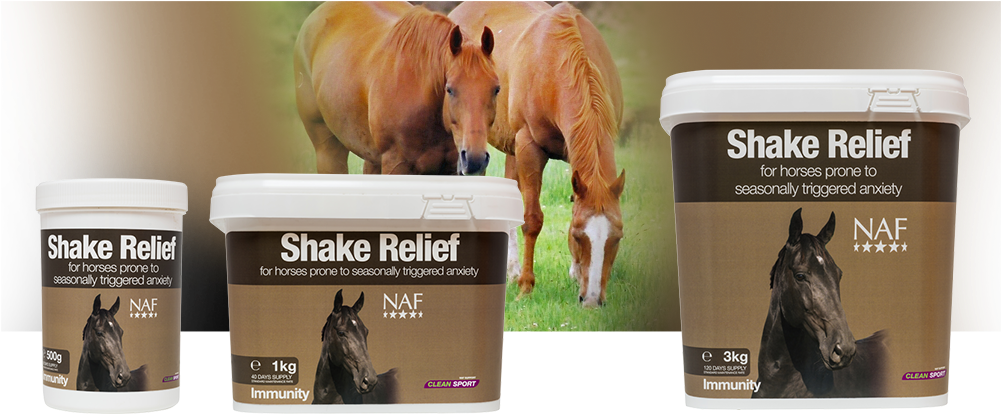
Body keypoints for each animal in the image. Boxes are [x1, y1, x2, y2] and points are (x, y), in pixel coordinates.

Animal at [449, 1, 625, 307]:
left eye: (616, 238)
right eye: (579, 236)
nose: (592, 300)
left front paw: (575, 271)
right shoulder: (529, 147)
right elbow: (532, 220)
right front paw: (526, 286)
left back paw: (510, 269)